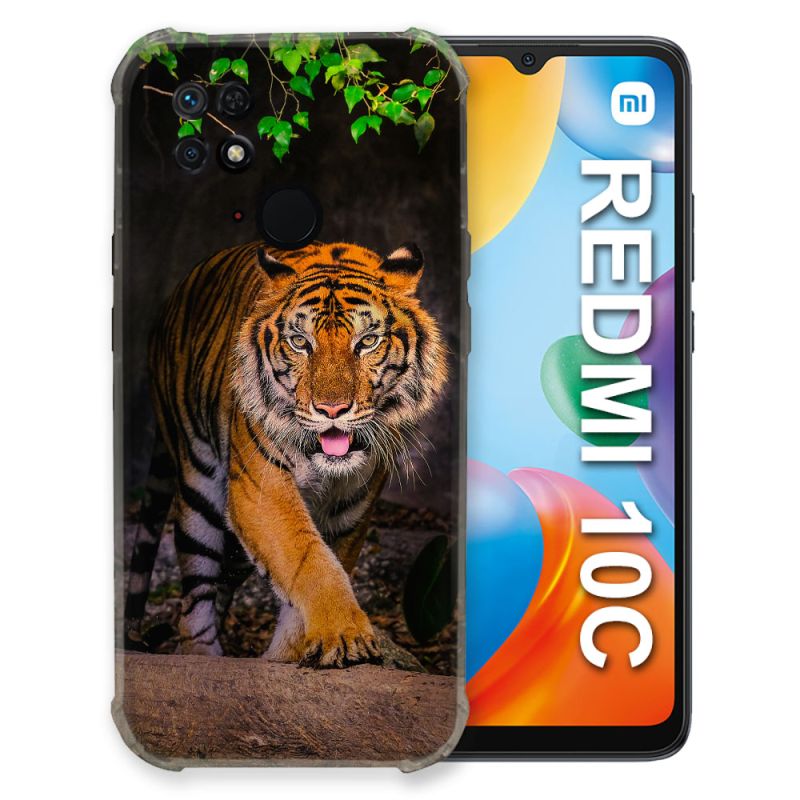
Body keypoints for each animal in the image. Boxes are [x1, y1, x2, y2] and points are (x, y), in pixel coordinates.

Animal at [124, 240, 447, 668]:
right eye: (300, 343)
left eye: (367, 342)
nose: (331, 409)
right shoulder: (260, 490)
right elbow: (309, 560)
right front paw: (345, 634)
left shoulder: (351, 509)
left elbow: (320, 567)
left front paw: (291, 653)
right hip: (198, 490)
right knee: (195, 596)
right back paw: (202, 654)